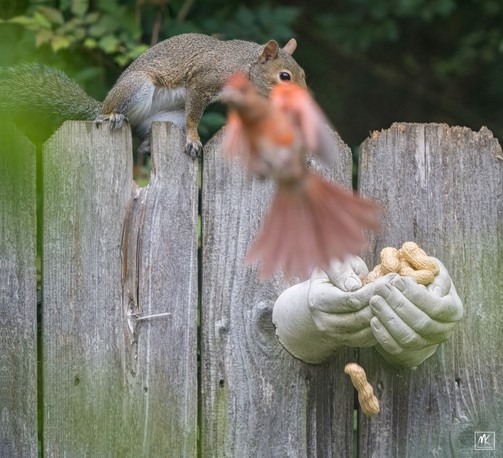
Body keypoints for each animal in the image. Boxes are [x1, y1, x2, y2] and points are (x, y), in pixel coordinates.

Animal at [0, 32, 306, 157]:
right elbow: (194, 117)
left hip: (168, 118)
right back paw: (111, 116)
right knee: (110, 114)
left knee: (141, 137)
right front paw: (193, 140)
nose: (303, 98)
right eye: (284, 76)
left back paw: (147, 145)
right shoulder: (203, 81)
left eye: (303, 73)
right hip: (137, 88)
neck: (245, 65)